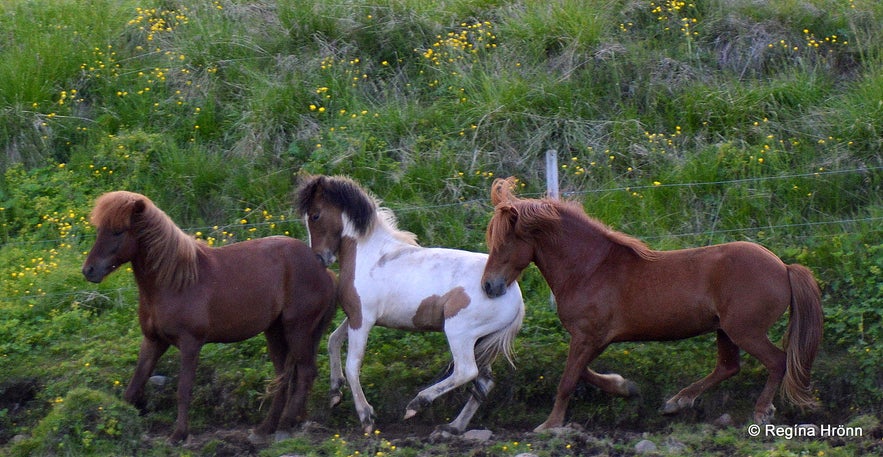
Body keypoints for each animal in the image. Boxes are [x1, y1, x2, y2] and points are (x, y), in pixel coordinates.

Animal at [81, 190, 336, 442]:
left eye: (118, 231)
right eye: (100, 230)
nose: (89, 270)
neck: (175, 281)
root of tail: (325, 271)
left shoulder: (191, 343)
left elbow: (183, 390)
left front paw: (179, 434)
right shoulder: (153, 341)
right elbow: (133, 387)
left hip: (297, 329)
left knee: (305, 373)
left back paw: (285, 424)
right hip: (275, 332)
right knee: (284, 377)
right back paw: (266, 428)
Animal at [296, 175, 524, 434]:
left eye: (315, 215)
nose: (320, 258)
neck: (370, 256)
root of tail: (513, 293)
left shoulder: (363, 320)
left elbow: (353, 365)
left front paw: (366, 417)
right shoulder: (356, 316)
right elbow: (333, 341)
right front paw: (335, 392)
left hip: (460, 333)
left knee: (466, 371)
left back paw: (416, 405)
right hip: (480, 340)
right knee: (484, 382)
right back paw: (452, 428)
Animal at [480, 177, 824, 432]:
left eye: (505, 242)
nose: (488, 286)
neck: (591, 268)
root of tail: (783, 267)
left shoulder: (588, 336)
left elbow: (568, 379)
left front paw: (549, 425)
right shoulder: (594, 339)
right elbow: (582, 374)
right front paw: (625, 387)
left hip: (745, 331)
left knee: (777, 361)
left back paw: (761, 411)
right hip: (725, 330)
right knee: (728, 367)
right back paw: (676, 403)